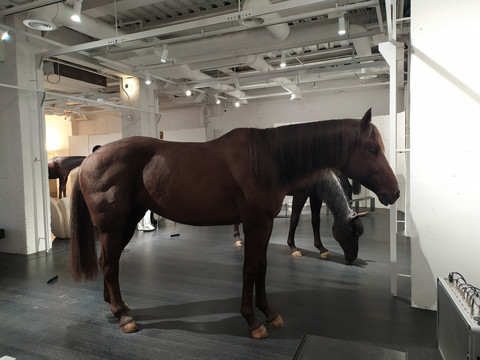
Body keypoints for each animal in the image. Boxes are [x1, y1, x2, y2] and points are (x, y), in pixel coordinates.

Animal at [69, 108, 400, 338]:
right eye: (372, 149)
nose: (394, 192)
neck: (267, 159)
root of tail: (91, 158)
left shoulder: (265, 224)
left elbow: (263, 267)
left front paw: (270, 313)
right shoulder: (255, 223)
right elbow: (250, 269)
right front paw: (252, 321)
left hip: (127, 222)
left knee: (109, 261)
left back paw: (117, 305)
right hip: (112, 227)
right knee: (109, 263)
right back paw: (123, 316)